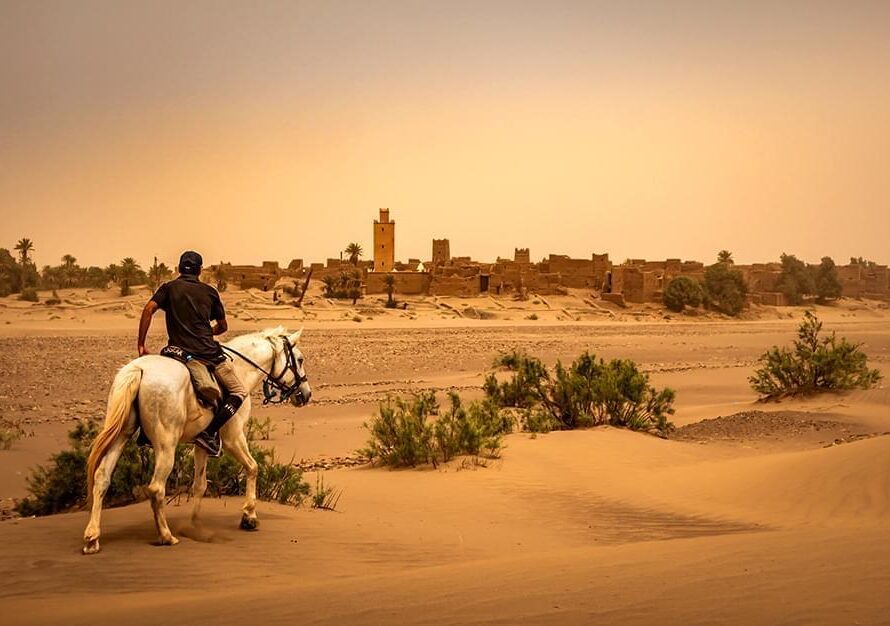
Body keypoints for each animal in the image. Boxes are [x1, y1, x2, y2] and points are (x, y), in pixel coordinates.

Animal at [82, 326, 312, 552]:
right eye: (300, 360)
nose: (306, 394)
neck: (240, 369)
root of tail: (140, 370)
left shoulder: (202, 444)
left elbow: (199, 485)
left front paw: (194, 524)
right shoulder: (233, 437)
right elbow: (253, 467)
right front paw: (249, 516)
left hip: (122, 435)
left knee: (102, 477)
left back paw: (92, 538)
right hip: (166, 445)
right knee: (156, 488)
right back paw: (166, 536)